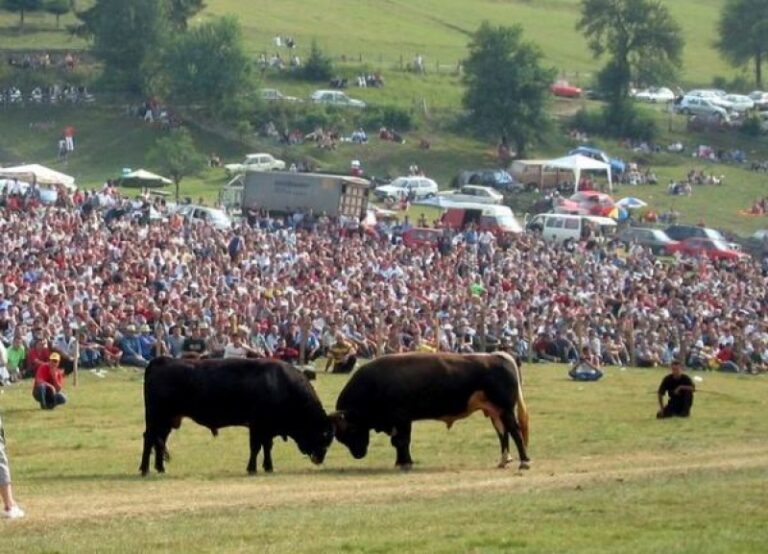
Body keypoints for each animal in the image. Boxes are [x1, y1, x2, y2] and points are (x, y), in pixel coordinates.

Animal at [140, 356, 332, 472]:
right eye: (323, 434)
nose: (320, 458)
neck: (280, 384)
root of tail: (162, 360)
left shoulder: (267, 429)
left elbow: (267, 446)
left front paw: (268, 467)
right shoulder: (257, 426)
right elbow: (256, 447)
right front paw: (252, 468)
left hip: (167, 420)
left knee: (160, 440)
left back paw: (160, 468)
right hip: (156, 418)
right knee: (150, 438)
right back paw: (144, 469)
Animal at [330, 352, 528, 468]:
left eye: (350, 429)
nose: (358, 454)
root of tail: (497, 356)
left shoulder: (401, 419)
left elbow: (401, 441)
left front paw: (404, 463)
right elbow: (399, 442)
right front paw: (401, 462)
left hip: (505, 409)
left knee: (515, 431)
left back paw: (524, 461)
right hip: (495, 412)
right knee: (503, 433)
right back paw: (504, 461)